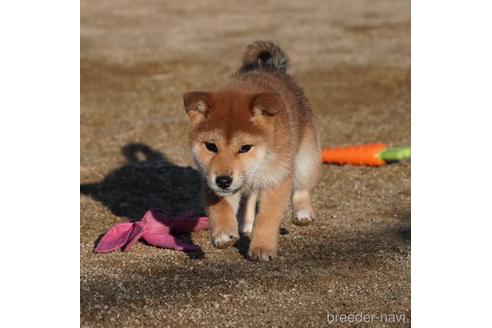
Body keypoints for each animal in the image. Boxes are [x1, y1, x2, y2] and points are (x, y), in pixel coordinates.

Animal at [184, 41, 320, 262]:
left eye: (245, 148)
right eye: (211, 146)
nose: (223, 181)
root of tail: (273, 67)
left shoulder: (277, 179)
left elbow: (267, 217)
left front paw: (262, 248)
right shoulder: (208, 177)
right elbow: (219, 205)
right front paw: (223, 233)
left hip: (306, 158)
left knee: (302, 188)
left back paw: (302, 214)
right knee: (249, 198)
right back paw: (245, 225)